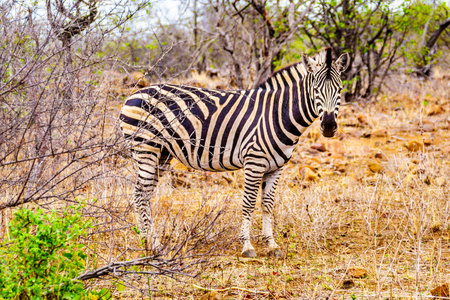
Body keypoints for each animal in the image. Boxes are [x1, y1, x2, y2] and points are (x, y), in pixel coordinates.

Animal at [120, 47, 352, 258]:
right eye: (316, 90)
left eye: (340, 90)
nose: (329, 126)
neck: (278, 113)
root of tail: (134, 93)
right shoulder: (254, 161)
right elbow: (248, 203)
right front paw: (247, 246)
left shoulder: (276, 167)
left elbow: (267, 204)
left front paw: (271, 244)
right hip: (146, 149)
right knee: (141, 194)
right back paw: (154, 245)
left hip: (162, 154)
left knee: (142, 193)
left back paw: (146, 241)